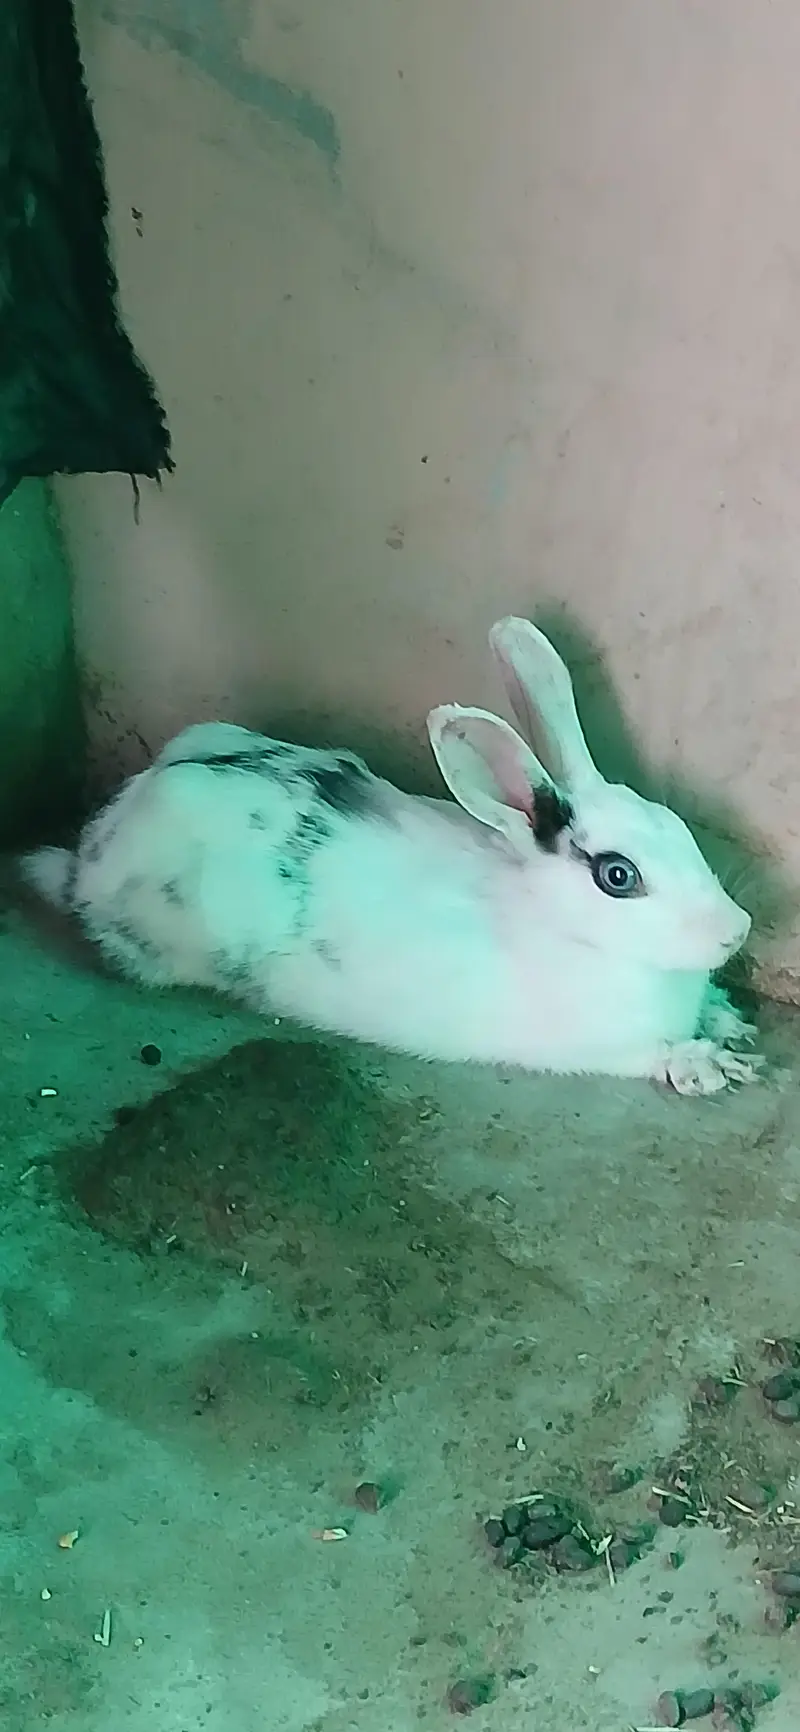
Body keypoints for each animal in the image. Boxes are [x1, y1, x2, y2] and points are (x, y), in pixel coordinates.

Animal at [19, 618, 758, 1096]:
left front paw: (732, 1025)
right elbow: (650, 1054)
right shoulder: (600, 1045)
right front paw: (709, 1065)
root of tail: (91, 854)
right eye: (618, 875)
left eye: (678, 828)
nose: (738, 929)